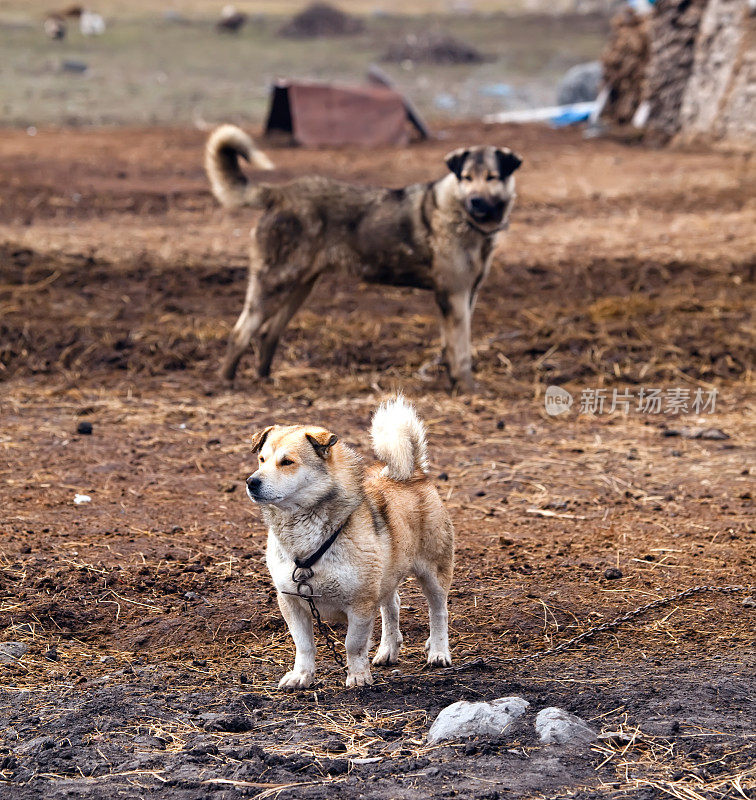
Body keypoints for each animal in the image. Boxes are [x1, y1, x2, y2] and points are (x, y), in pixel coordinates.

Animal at [204, 123, 520, 392]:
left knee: (268, 333)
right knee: (240, 332)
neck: (462, 216)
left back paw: (265, 378)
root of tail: (280, 193)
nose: (475, 202)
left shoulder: (466, 296)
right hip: (275, 283)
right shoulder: (454, 295)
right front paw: (467, 389)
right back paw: (226, 382)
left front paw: (453, 381)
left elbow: (451, 346)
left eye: (492, 177)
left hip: (300, 287)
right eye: (466, 178)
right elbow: (462, 349)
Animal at [245, 396, 452, 692]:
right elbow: (304, 645)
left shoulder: (360, 602)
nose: (251, 481)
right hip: (386, 574)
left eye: (287, 462)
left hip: (434, 572)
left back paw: (438, 651)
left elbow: (353, 644)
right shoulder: (291, 601)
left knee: (438, 612)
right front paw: (302, 675)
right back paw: (388, 649)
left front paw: (357, 676)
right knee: (392, 605)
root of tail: (412, 472)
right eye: (261, 460)